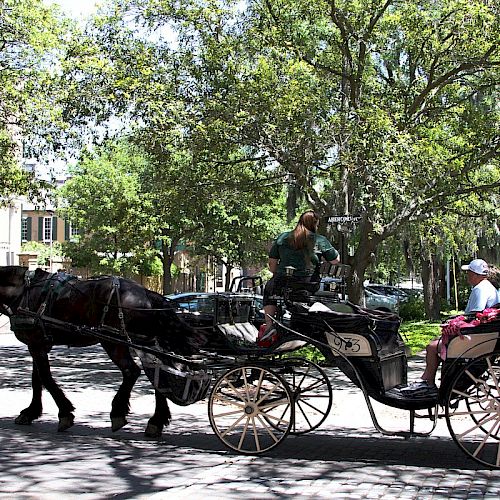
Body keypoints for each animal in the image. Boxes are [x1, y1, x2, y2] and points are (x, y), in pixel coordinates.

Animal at [0, 266, 203, 438]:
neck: (24, 291)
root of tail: (145, 292)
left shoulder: (36, 344)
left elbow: (46, 379)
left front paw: (64, 413)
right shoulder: (38, 344)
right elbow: (37, 380)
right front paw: (30, 412)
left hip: (113, 342)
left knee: (132, 371)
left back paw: (118, 413)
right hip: (143, 342)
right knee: (158, 375)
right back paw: (156, 421)